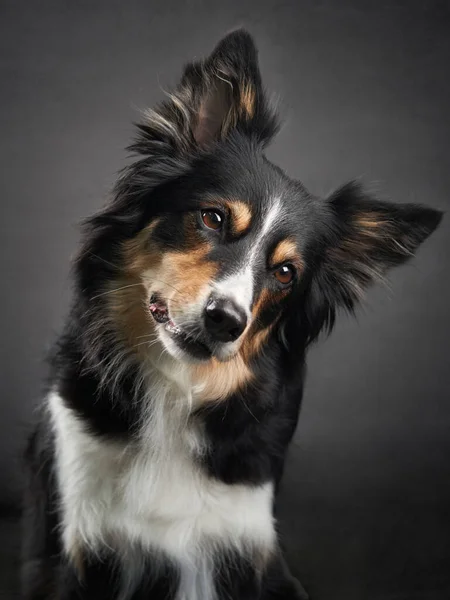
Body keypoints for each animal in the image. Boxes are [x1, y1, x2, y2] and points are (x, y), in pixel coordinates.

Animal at [20, 29, 440, 600]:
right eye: (213, 218)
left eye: (285, 273)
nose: (226, 320)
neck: (176, 388)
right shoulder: (74, 546)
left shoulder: (244, 543)